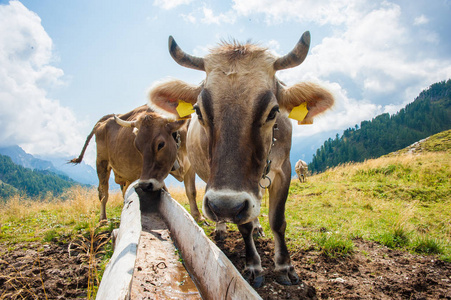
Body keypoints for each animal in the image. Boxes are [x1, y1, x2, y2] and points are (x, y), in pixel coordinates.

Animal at [70, 104, 201, 221]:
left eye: (160, 144)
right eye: (138, 146)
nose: (145, 185)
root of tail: (102, 123)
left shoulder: (190, 166)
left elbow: (191, 191)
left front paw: (197, 217)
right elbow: (166, 192)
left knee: (123, 192)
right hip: (101, 162)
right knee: (103, 192)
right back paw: (103, 219)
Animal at [150, 31, 334, 288]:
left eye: (273, 111)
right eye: (198, 111)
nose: (225, 206)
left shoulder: (284, 169)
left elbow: (277, 220)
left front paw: (285, 266)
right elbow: (243, 226)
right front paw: (254, 266)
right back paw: (221, 228)